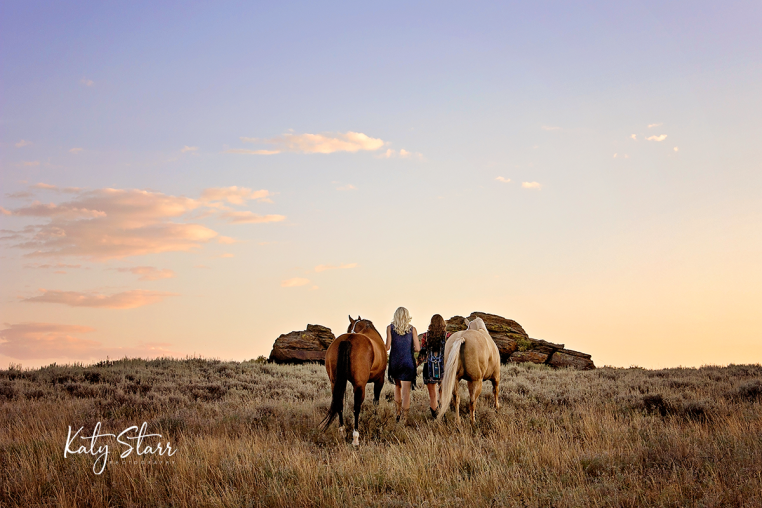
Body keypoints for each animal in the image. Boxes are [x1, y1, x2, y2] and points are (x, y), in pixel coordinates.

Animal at [320, 316, 386, 446]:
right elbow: (375, 401)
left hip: (334, 383)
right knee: (356, 408)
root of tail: (348, 339)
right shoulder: (379, 380)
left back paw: (342, 432)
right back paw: (355, 438)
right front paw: (376, 420)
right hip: (360, 386)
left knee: (339, 404)